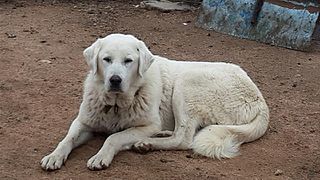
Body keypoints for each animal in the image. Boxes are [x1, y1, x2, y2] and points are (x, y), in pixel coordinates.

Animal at [40, 33, 270, 170]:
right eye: (106, 59)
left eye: (128, 61)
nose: (115, 80)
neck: (116, 104)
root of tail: (260, 100)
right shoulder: (83, 122)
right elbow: (67, 139)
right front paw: (54, 156)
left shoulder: (148, 125)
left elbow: (114, 137)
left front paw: (101, 156)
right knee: (179, 133)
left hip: (186, 83)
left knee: (184, 139)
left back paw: (148, 143)